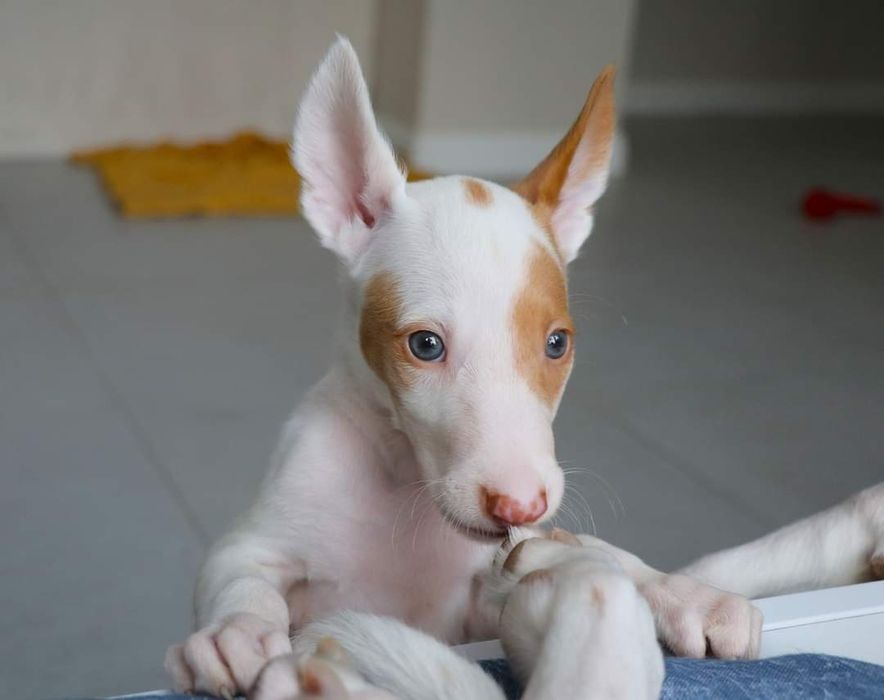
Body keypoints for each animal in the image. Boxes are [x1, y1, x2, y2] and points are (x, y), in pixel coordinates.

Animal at [165, 38, 884, 698]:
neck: (404, 486)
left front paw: (683, 592)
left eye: (557, 344)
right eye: (424, 346)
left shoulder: (490, 586)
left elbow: (597, 558)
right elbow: (240, 575)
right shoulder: (257, 541)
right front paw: (235, 635)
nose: (520, 503)